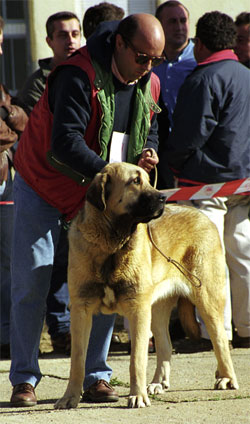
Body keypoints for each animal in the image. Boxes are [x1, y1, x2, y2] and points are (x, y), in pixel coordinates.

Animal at [54, 161, 238, 410]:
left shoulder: (137, 310)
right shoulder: (81, 310)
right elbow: (77, 360)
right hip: (157, 309)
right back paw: (158, 383)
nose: (162, 197)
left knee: (220, 340)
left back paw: (227, 378)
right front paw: (69, 397)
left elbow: (137, 359)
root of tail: (202, 216)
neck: (113, 243)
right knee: (166, 345)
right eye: (135, 181)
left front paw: (137, 396)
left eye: (149, 180)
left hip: (206, 298)